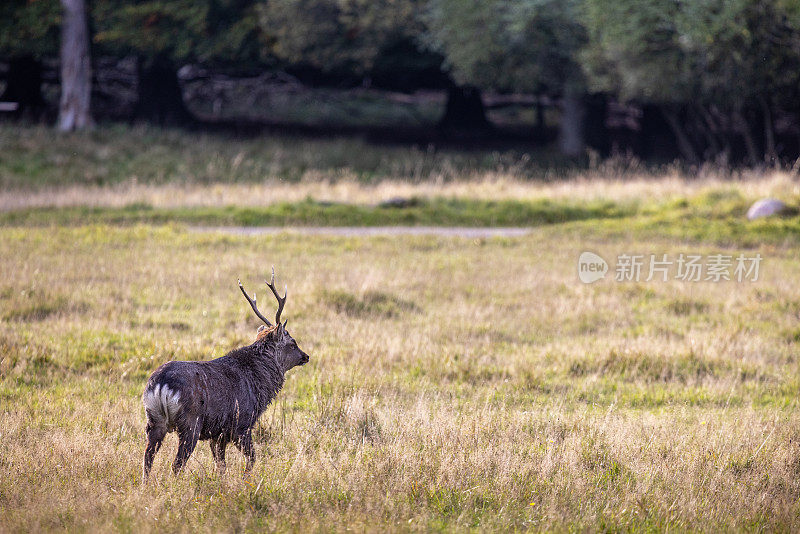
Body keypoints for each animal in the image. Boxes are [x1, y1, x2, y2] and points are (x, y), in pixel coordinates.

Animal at [141, 268, 310, 482]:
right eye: (293, 342)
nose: (306, 356)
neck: (260, 387)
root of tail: (160, 384)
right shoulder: (241, 425)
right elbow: (251, 459)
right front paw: (245, 481)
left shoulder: (217, 433)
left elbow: (220, 465)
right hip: (190, 423)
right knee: (177, 463)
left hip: (154, 419)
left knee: (147, 457)